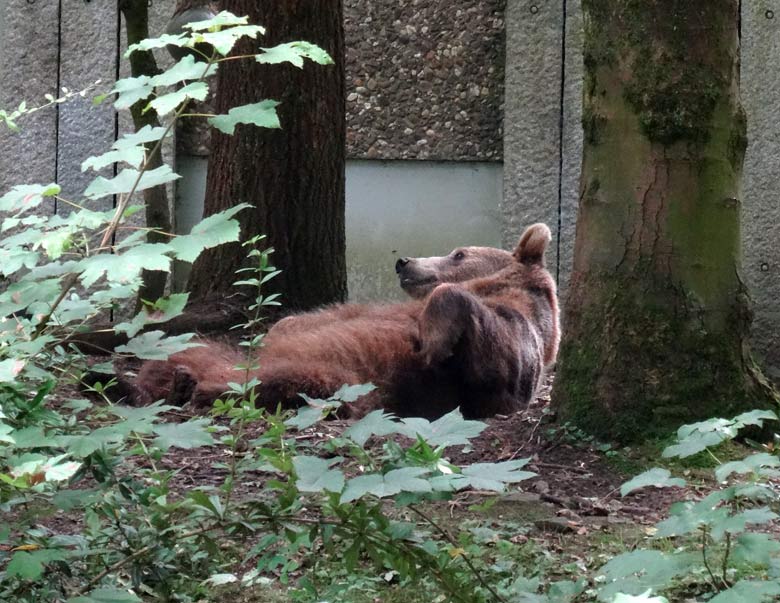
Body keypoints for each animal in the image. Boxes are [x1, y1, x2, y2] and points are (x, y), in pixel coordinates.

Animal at [125, 223, 556, 420]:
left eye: (459, 253)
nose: (404, 262)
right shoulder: (364, 310)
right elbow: (314, 317)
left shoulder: (513, 340)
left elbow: (493, 363)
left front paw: (434, 342)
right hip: (213, 351)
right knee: (183, 352)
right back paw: (152, 380)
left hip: (344, 379)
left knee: (286, 383)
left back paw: (196, 389)